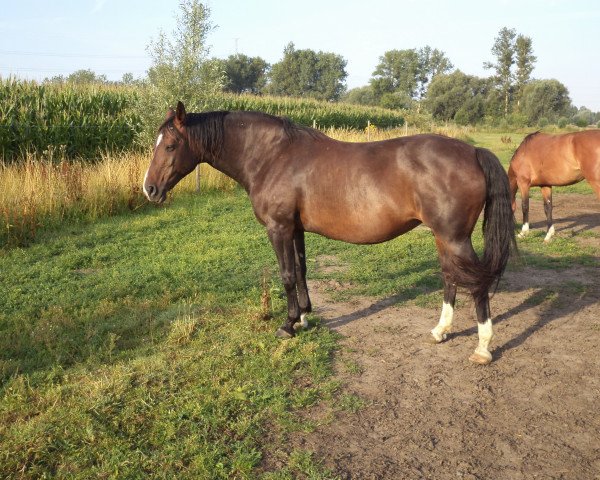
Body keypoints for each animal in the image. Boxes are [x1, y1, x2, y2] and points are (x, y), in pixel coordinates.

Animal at [142, 102, 516, 364]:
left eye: (171, 145)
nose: (149, 189)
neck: (271, 156)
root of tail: (472, 151)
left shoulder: (279, 228)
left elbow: (287, 275)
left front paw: (287, 325)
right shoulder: (295, 229)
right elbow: (302, 270)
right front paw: (305, 317)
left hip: (455, 239)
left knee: (476, 285)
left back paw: (483, 348)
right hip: (444, 238)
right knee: (451, 278)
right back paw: (440, 331)